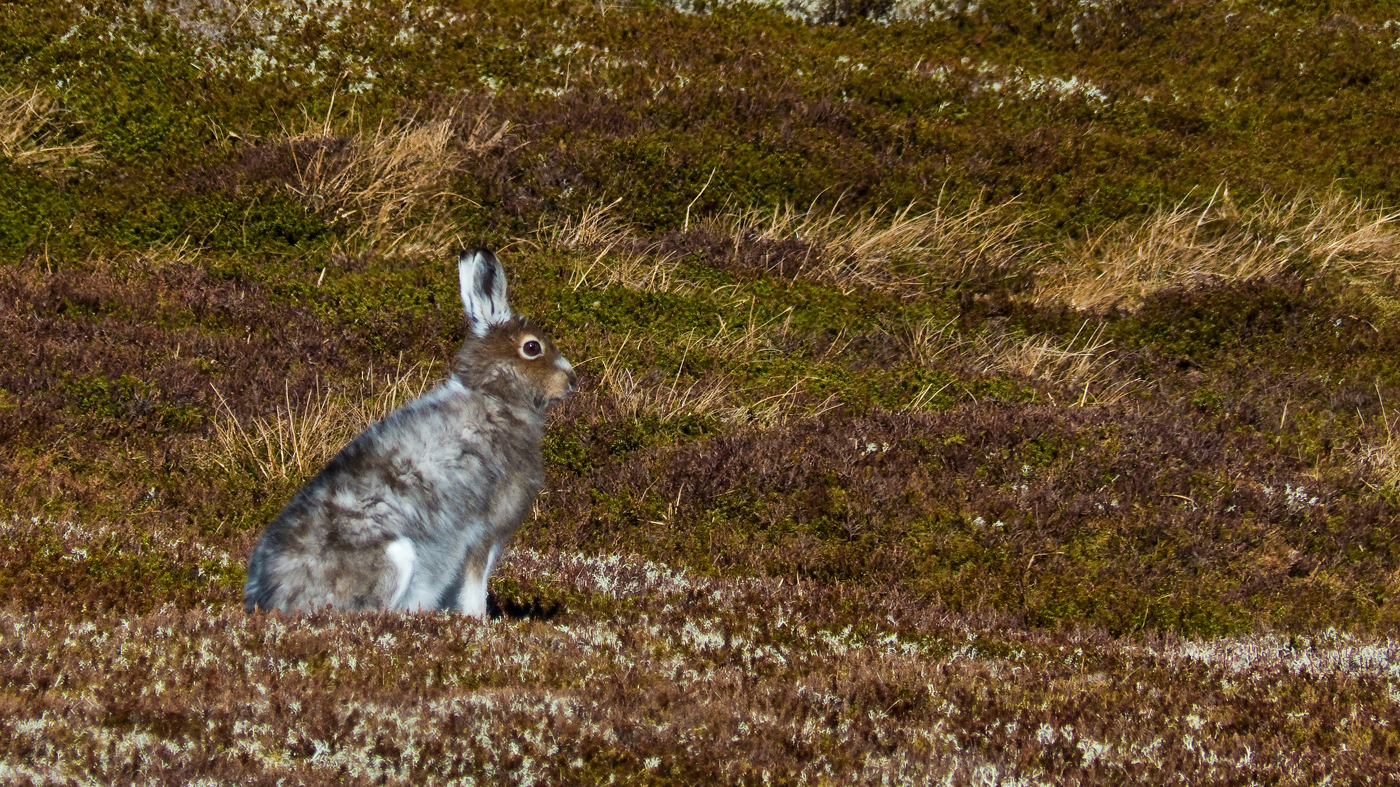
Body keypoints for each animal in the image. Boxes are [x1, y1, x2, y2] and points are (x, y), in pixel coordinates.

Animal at [243, 249, 576, 617]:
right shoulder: (484, 532)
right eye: (532, 347)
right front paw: (478, 620)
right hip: (397, 556)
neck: (495, 397)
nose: (572, 381)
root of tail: (270, 599)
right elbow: (474, 585)